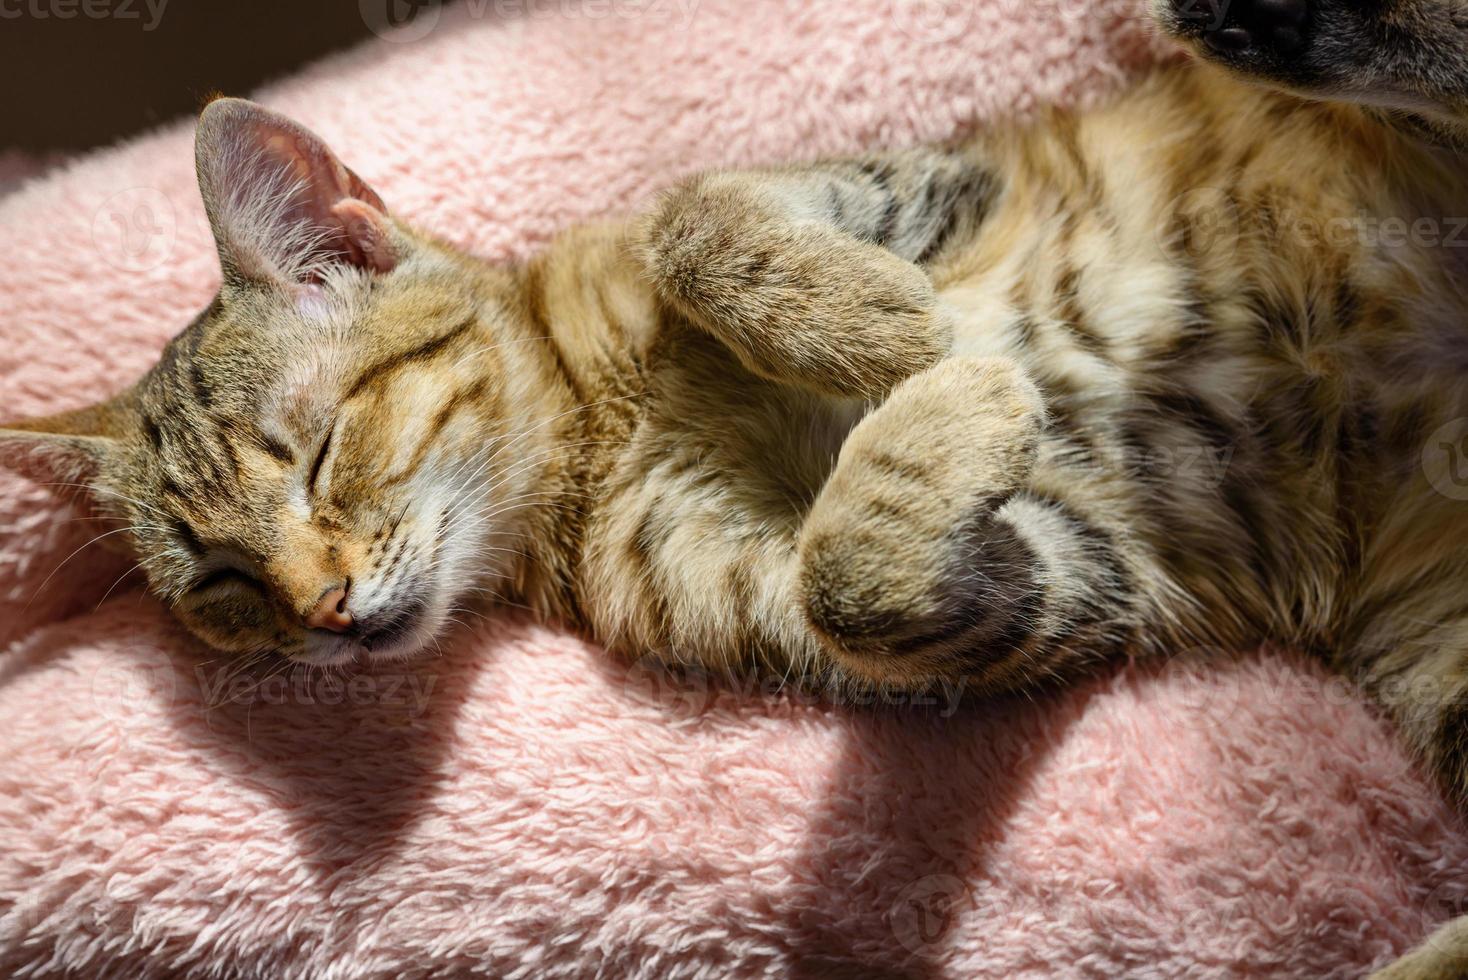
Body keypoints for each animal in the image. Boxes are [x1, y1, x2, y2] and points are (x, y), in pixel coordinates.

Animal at [8, 0, 1468, 968]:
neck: (599, 428)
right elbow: (851, 575)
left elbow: (694, 217)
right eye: (222, 585)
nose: (320, 613)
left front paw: (878, 322)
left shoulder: (914, 174)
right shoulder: (1034, 584)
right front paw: (959, 394)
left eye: (317, 451)